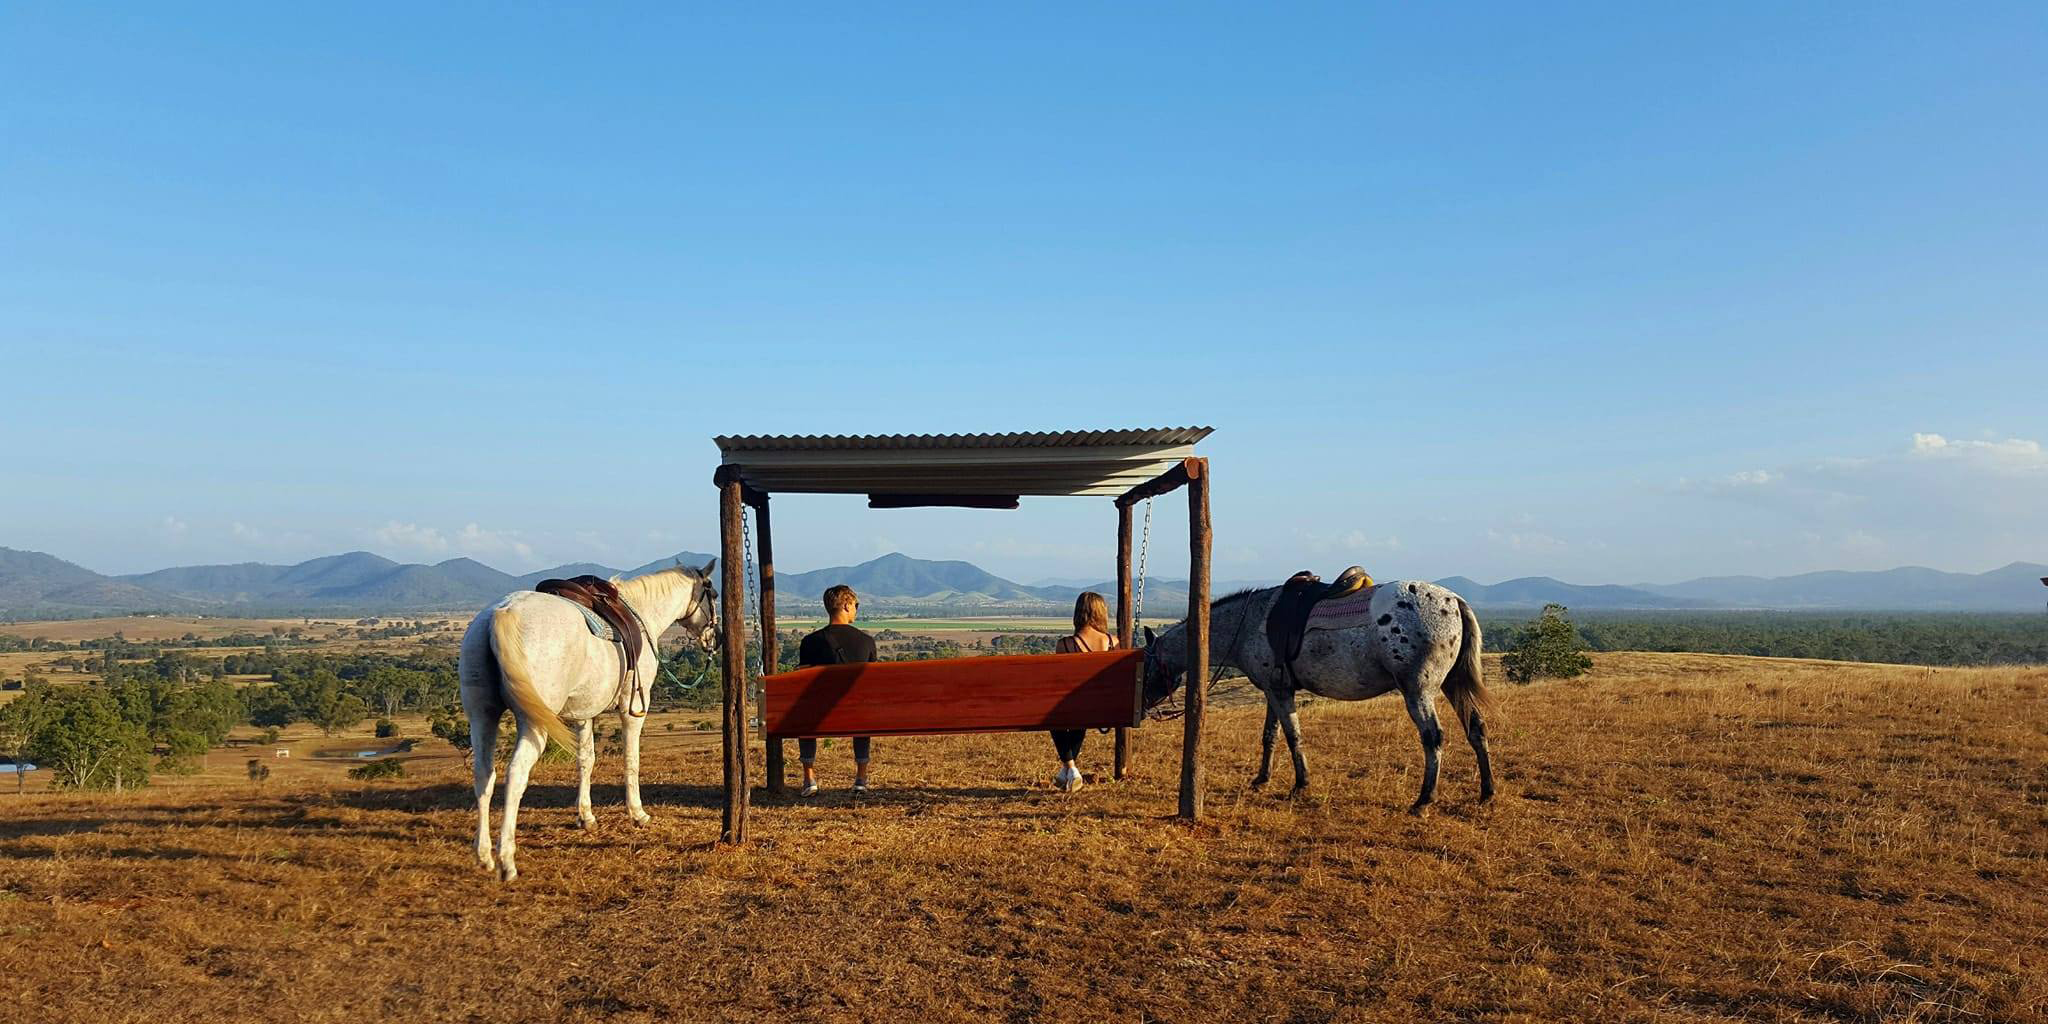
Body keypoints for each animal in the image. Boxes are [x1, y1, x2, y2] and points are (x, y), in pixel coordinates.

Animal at [460, 561, 716, 880]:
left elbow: (586, 760)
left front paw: (586, 816)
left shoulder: (584, 714)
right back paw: (506, 859)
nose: (715, 639)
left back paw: (483, 854)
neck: (642, 614)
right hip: (532, 724)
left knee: (484, 774)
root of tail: (501, 613)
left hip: (482, 716)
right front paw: (637, 813)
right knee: (516, 773)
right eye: (714, 595)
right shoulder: (632, 709)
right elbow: (631, 760)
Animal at [1146, 581, 1499, 811]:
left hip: (1418, 692)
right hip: (1452, 685)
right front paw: (1262, 778)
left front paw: (1300, 785)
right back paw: (1487, 792)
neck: (1248, 623)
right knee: (1476, 729)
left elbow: (1293, 736)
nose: (1147, 706)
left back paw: (1424, 800)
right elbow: (1270, 736)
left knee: (1434, 738)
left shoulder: (1279, 692)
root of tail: (1455, 602)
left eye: (1148, 662)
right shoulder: (1275, 689)